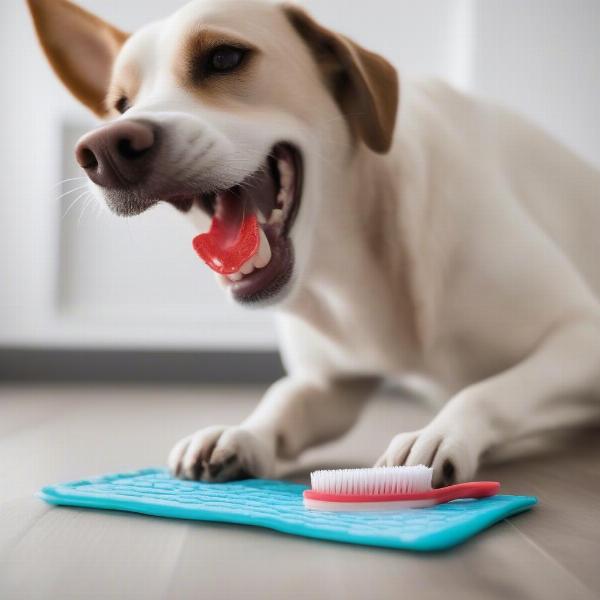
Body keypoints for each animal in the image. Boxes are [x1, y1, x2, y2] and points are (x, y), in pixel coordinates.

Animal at [28, 0, 600, 488]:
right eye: (120, 105)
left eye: (224, 57)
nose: (104, 149)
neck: (352, 263)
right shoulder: (331, 384)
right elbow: (285, 398)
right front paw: (242, 432)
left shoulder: (582, 336)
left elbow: (490, 391)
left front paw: (439, 432)